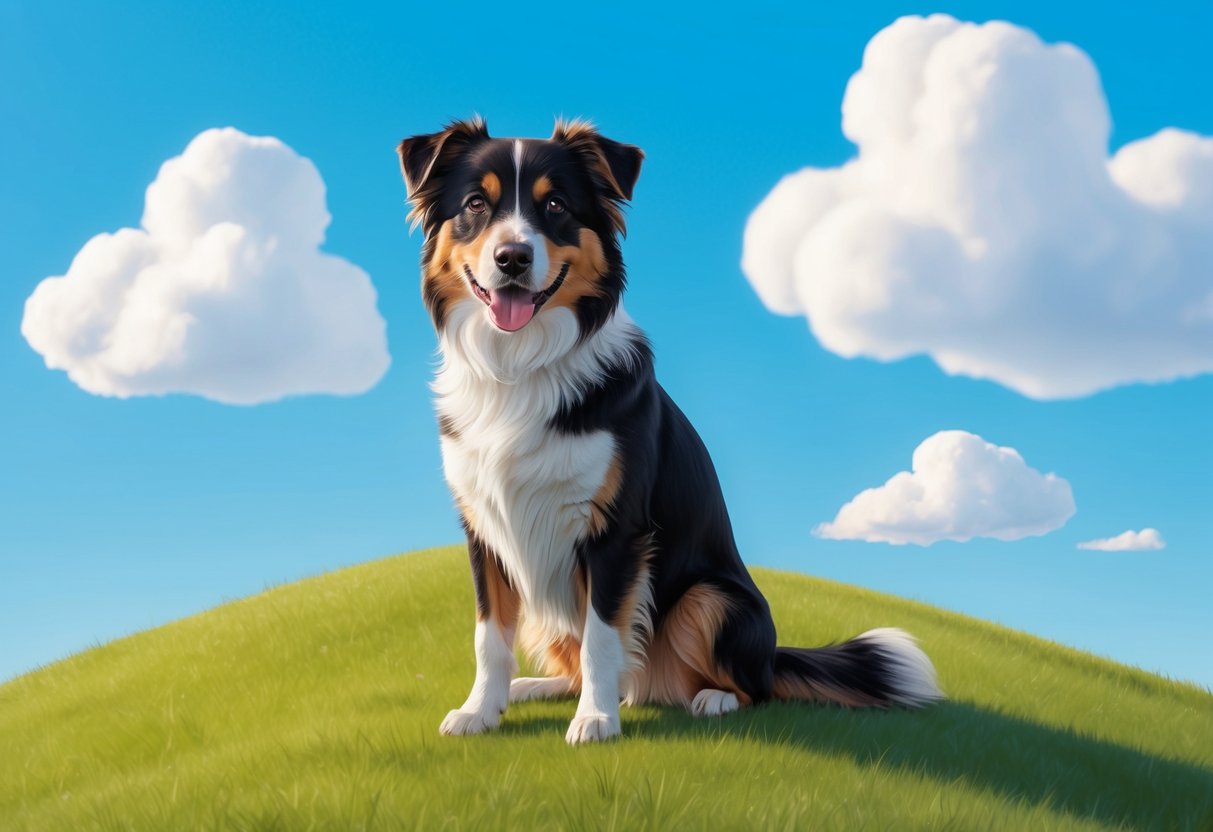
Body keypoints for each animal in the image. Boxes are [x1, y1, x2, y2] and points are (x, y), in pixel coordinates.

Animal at [393, 118, 941, 751]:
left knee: (753, 686)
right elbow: (490, 635)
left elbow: (602, 635)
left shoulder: (617, 531)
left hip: (714, 597)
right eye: (475, 205)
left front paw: (596, 720)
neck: (521, 364)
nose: (511, 258)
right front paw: (481, 711)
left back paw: (710, 698)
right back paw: (538, 687)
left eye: (555, 206)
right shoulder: (484, 529)